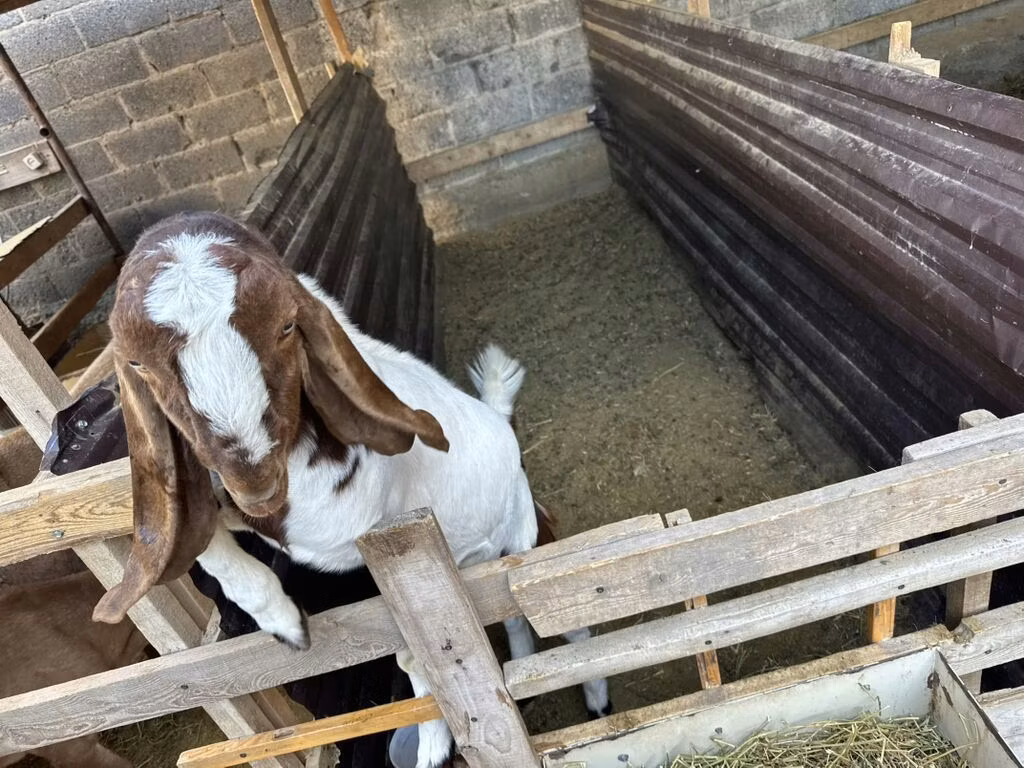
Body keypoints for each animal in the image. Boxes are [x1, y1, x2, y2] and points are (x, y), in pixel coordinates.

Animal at [91, 212, 610, 768]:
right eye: (138, 365)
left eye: (287, 326)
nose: (255, 483)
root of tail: (501, 425)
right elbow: (193, 531)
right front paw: (285, 625)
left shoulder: (340, 523)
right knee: (502, 622)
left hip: (525, 539)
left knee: (564, 620)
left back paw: (594, 704)